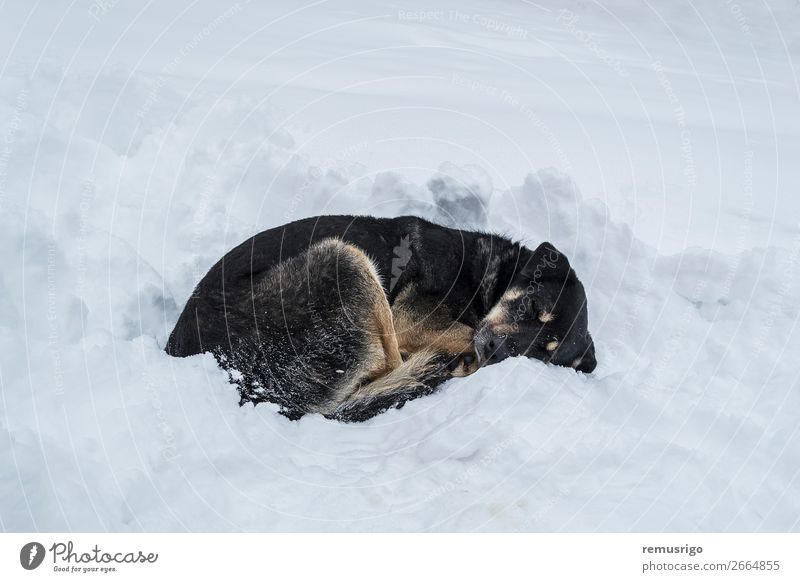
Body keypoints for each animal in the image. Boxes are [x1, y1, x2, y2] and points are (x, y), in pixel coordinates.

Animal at [167, 214, 592, 420]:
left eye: (540, 352)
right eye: (530, 307)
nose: (495, 350)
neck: (489, 276)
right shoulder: (409, 317)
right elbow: (463, 331)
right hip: (346, 260)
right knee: (391, 363)